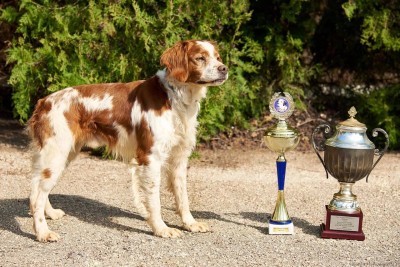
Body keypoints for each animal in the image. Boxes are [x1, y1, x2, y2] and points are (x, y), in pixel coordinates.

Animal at [27, 40, 228, 243]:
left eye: (217, 57)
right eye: (200, 58)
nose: (224, 68)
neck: (174, 96)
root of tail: (44, 101)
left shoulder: (179, 159)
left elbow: (182, 197)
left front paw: (190, 224)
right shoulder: (151, 158)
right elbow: (154, 200)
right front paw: (161, 229)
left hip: (64, 154)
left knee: (37, 188)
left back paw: (50, 213)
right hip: (57, 154)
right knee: (38, 195)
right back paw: (43, 232)